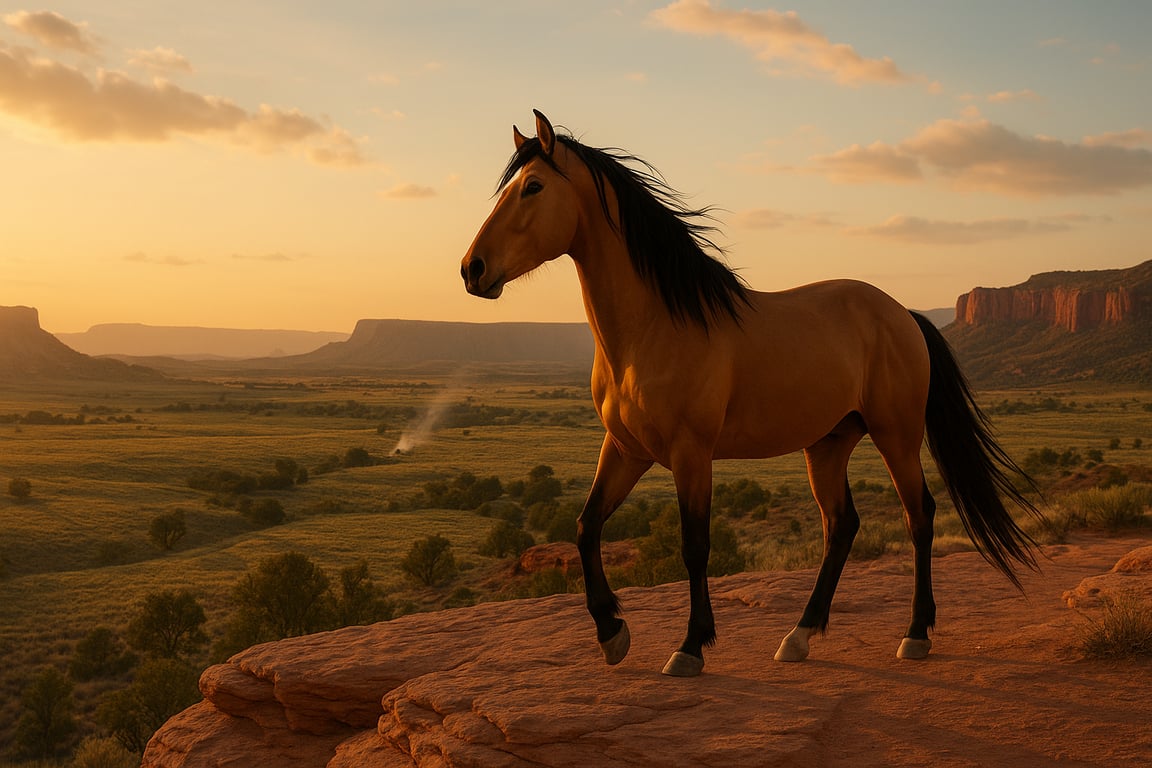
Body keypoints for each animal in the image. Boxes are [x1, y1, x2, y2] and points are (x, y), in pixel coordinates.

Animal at [461, 110, 1041, 677]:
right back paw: (799, 637)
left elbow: (694, 546)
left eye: (532, 187)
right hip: (828, 444)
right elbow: (586, 528)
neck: (654, 327)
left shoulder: (691, 454)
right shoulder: (625, 450)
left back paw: (915, 635)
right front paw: (612, 633)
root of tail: (903, 314)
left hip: (896, 434)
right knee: (841, 526)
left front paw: (690, 647)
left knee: (918, 516)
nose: (472, 269)